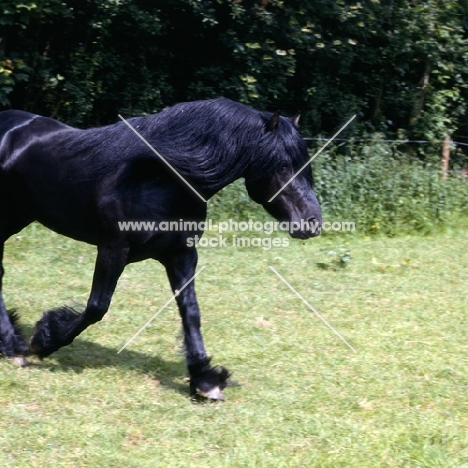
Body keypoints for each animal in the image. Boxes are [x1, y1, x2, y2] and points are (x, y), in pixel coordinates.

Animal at [0, 98, 322, 398]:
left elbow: (190, 311)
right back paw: (14, 346)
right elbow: (96, 307)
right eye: (283, 165)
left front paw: (205, 380)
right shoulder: (113, 248)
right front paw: (43, 341)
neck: (158, 181)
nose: (312, 222)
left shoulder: (181, 254)